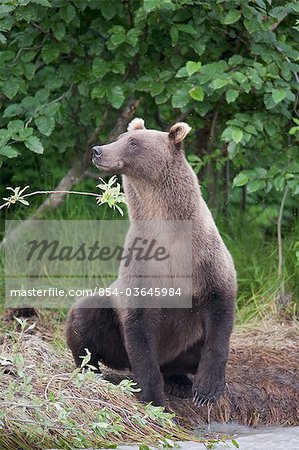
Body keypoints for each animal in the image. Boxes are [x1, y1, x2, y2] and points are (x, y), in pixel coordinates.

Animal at [67, 118, 238, 408]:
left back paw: (180, 381)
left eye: (133, 143)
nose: (98, 150)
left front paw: (206, 389)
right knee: (86, 314)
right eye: (121, 138)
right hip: (113, 333)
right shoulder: (142, 266)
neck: (167, 231)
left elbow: (218, 313)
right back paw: (91, 368)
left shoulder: (205, 258)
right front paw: (152, 396)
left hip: (185, 343)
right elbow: (140, 330)